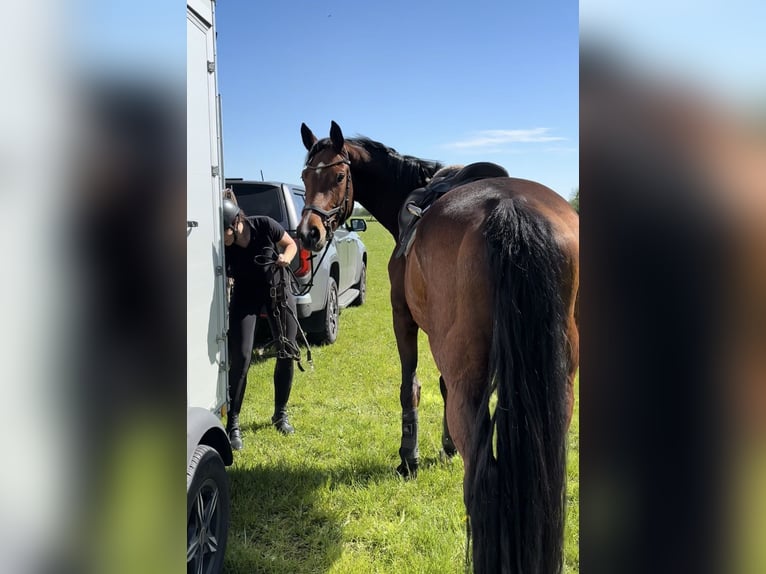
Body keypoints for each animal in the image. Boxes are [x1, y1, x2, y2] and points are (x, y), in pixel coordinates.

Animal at [298, 121, 579, 574]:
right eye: (305, 175)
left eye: (338, 176)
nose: (308, 232)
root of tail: (511, 211)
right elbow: (439, 387)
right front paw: (444, 447)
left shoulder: (406, 318)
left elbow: (411, 388)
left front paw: (409, 457)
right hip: (558, 389)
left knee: (485, 480)